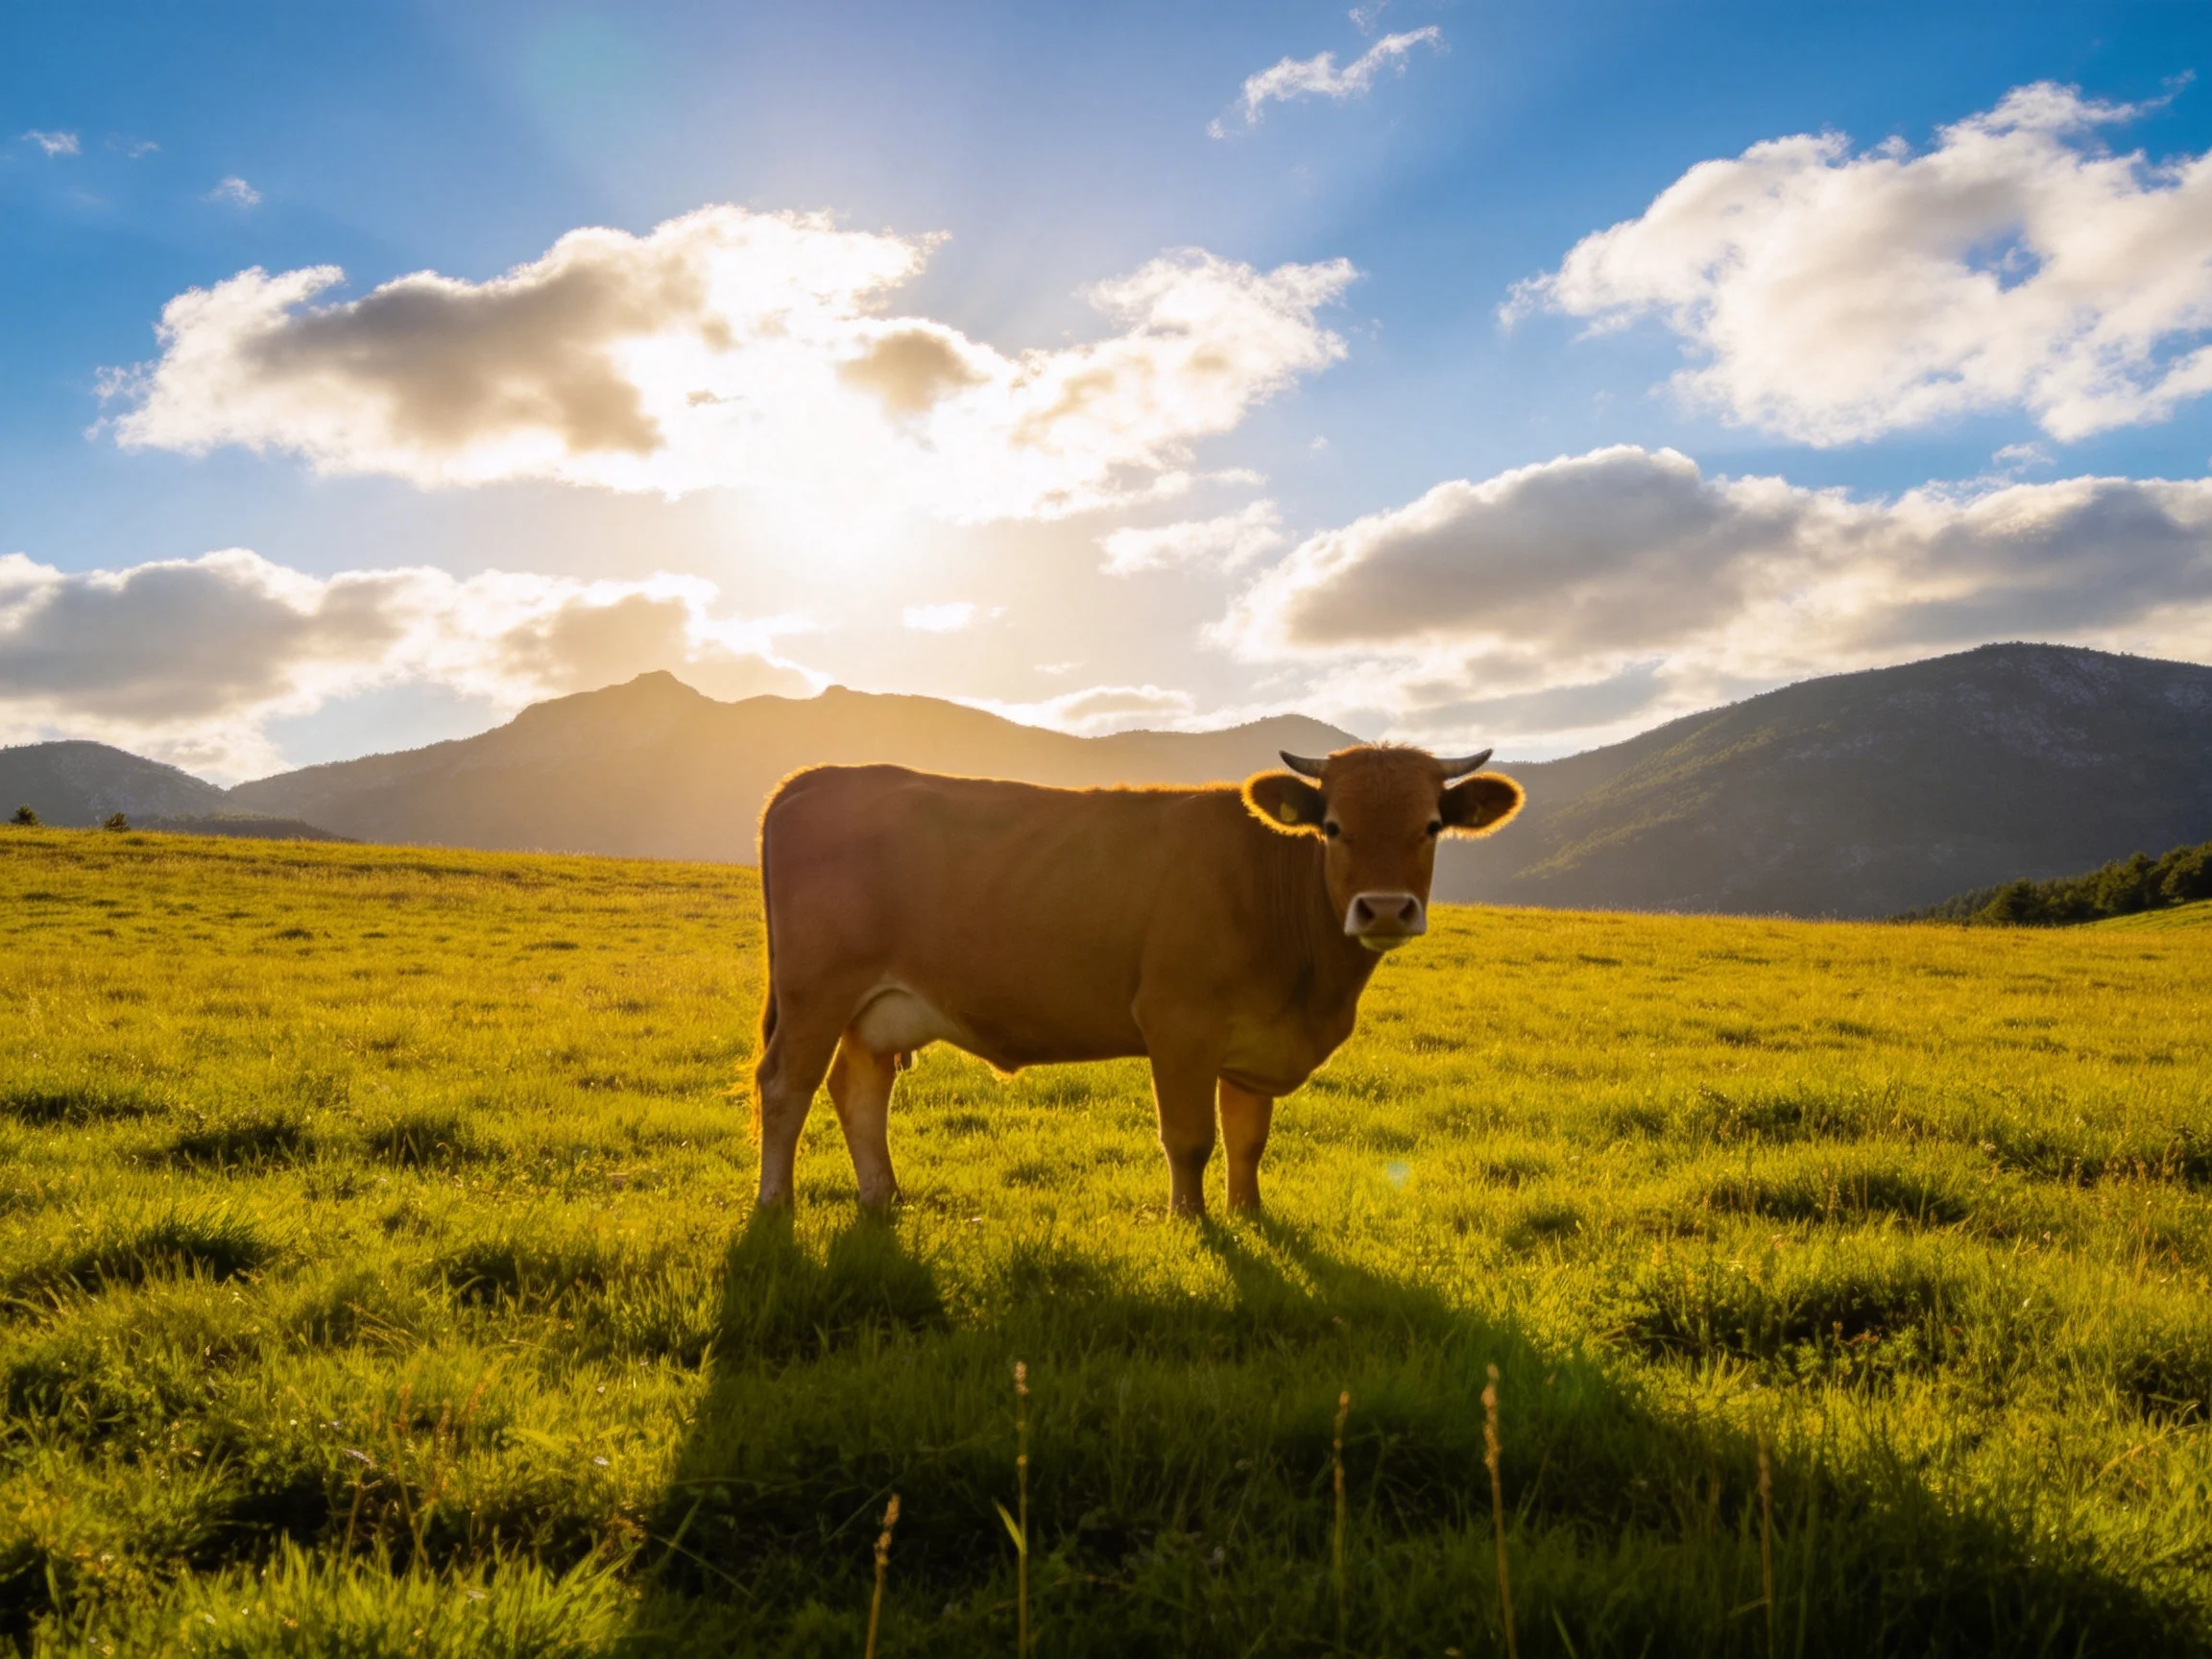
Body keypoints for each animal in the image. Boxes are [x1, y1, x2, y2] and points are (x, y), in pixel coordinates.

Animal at [751, 745, 1523, 1218]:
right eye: (1332, 827)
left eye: (1431, 826)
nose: (1386, 908)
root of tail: (820, 775)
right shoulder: (1178, 1023)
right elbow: (1190, 1137)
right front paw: (1192, 1221)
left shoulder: (1254, 1039)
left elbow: (1248, 1137)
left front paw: (1249, 1213)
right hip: (815, 993)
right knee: (787, 1086)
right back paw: (774, 1204)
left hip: (874, 1009)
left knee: (859, 1088)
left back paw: (882, 1197)